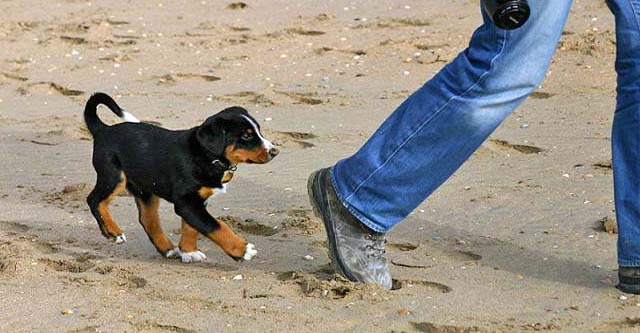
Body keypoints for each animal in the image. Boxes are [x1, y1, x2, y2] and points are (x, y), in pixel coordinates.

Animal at [83, 91, 278, 262]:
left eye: (258, 131)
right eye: (246, 136)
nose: (274, 151)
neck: (206, 155)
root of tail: (103, 129)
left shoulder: (198, 201)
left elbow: (191, 227)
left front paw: (189, 251)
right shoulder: (186, 201)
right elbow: (214, 226)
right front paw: (242, 249)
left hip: (145, 189)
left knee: (147, 218)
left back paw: (167, 248)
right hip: (114, 176)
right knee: (94, 200)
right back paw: (112, 232)